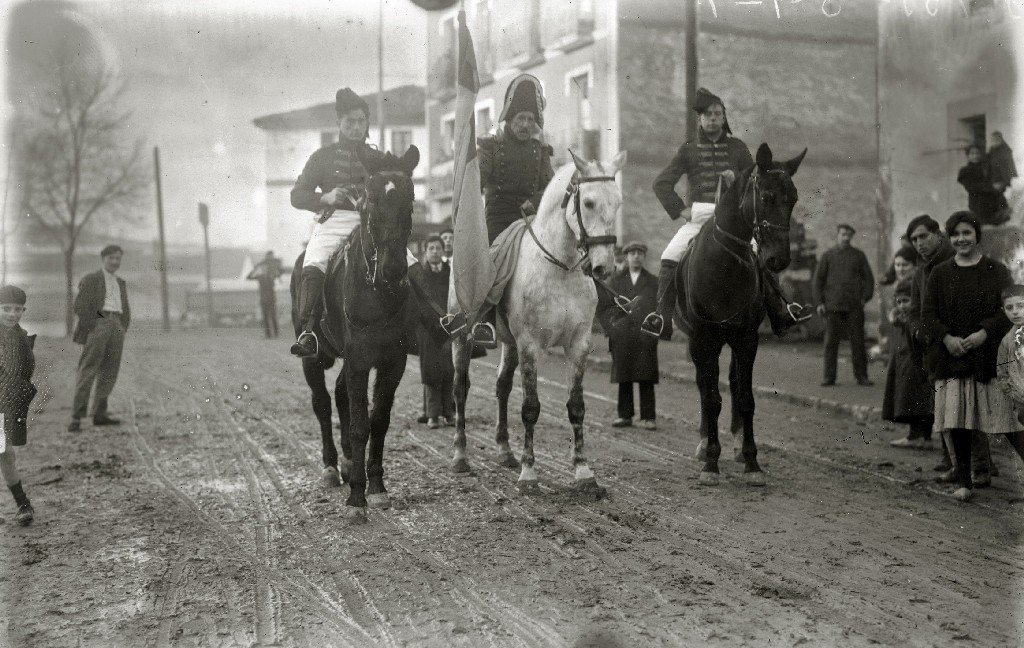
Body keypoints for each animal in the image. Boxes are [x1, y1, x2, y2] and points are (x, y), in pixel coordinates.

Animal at [291, 145, 420, 522]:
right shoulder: (360, 360)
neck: (377, 292)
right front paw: (356, 497)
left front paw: (375, 486)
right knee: (322, 403)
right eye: (370, 199)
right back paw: (333, 467)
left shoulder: (392, 362)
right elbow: (360, 422)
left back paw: (350, 463)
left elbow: (378, 420)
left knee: (338, 395)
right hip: (313, 359)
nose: (394, 268)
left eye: (410, 200)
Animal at [450, 150, 627, 492]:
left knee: (502, 387)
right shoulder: (530, 345)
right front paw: (529, 473)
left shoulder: (578, 344)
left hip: (510, 344)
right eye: (588, 202)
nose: (604, 266)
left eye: (618, 202)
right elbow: (530, 407)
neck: (560, 269)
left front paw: (583, 472)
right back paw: (460, 456)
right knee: (461, 388)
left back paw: (505, 451)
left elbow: (576, 406)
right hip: (462, 337)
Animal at [677, 143, 806, 486]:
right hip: (698, 343)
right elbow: (711, 397)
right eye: (766, 196)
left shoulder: (747, 339)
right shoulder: (704, 339)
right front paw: (711, 462)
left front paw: (751, 462)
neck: (725, 267)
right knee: (704, 385)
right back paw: (704, 443)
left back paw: (734, 444)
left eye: (793, 198)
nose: (778, 259)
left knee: (734, 383)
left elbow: (745, 398)